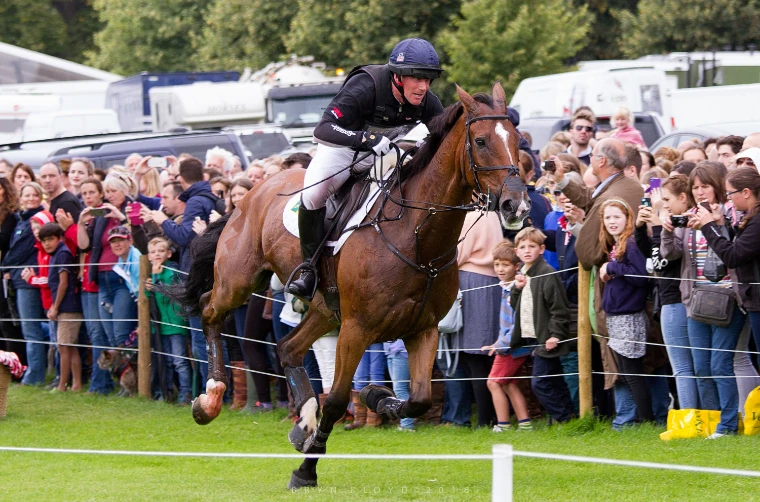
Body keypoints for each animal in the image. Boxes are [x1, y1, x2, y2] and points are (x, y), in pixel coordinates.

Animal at [171, 82, 531, 489]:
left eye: (516, 139)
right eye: (482, 141)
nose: (517, 205)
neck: (416, 238)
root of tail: (249, 191)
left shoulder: (422, 330)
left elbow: (419, 398)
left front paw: (377, 397)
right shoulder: (357, 329)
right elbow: (338, 400)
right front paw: (306, 471)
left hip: (325, 310)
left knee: (288, 348)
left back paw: (302, 423)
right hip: (239, 281)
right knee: (209, 310)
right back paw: (210, 399)